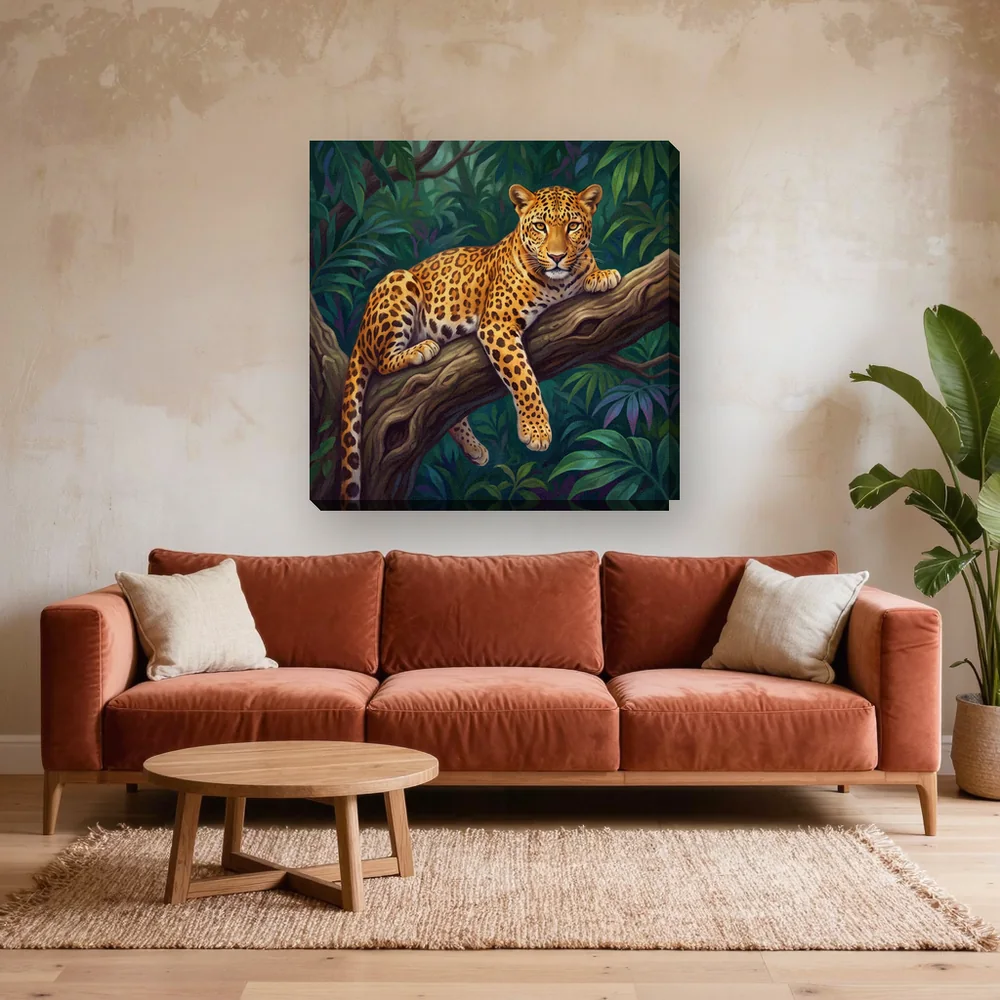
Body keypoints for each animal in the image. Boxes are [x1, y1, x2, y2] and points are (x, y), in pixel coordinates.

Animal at [338, 182, 621, 509]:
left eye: (573, 226)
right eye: (540, 226)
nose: (557, 257)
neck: (559, 284)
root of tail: (360, 332)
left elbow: (587, 269)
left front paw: (602, 275)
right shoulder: (497, 323)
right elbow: (523, 377)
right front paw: (536, 430)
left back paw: (474, 448)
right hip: (399, 281)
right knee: (383, 361)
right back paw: (419, 350)